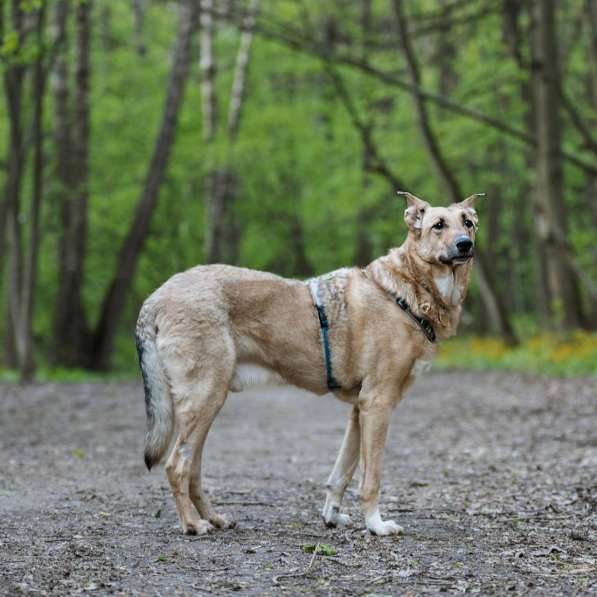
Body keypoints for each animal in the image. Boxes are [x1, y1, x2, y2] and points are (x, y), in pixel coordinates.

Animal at [134, 192, 480, 536]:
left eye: (468, 223)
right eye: (438, 225)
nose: (465, 244)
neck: (406, 291)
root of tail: (155, 297)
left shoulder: (359, 410)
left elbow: (341, 473)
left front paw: (332, 517)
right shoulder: (378, 403)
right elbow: (371, 478)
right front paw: (376, 524)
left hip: (207, 405)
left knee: (192, 469)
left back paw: (215, 518)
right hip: (205, 398)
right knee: (176, 465)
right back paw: (192, 524)